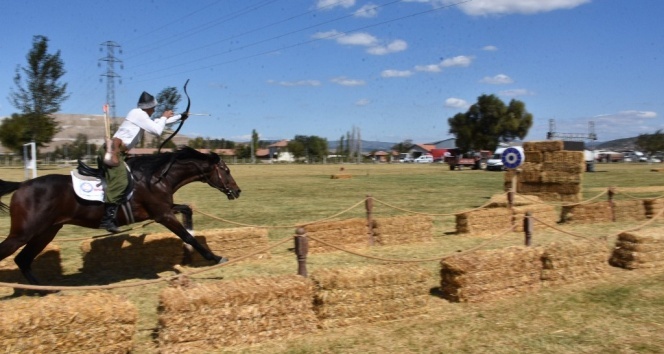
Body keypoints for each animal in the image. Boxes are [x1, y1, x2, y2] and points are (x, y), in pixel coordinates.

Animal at [0, 145, 241, 286]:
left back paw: (44, 290)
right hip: (24, 233)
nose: (237, 191)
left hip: (46, 232)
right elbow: (187, 236)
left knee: (23, 260)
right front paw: (215, 257)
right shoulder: (162, 214)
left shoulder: (163, 210)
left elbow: (187, 212)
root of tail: (21, 186)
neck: (156, 177)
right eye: (226, 170)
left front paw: (189, 253)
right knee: (16, 255)